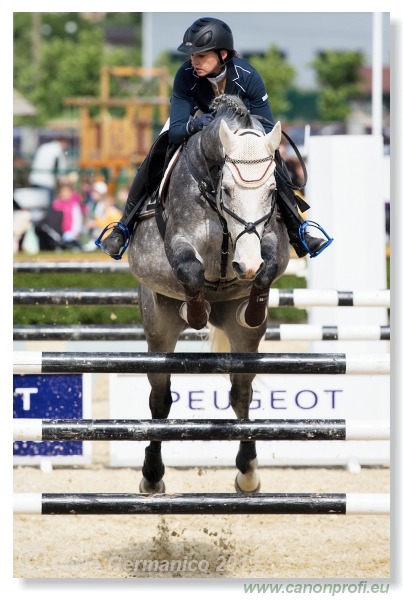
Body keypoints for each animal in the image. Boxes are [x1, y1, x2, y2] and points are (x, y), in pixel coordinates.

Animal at [129, 95, 290, 492]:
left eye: (272, 192)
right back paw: (152, 477)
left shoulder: (272, 243)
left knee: (241, 393)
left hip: (243, 337)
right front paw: (196, 312)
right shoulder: (179, 243)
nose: (245, 264)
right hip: (158, 328)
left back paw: (248, 473)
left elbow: (267, 267)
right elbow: (191, 270)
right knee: (160, 398)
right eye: (228, 190)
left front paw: (255, 305)